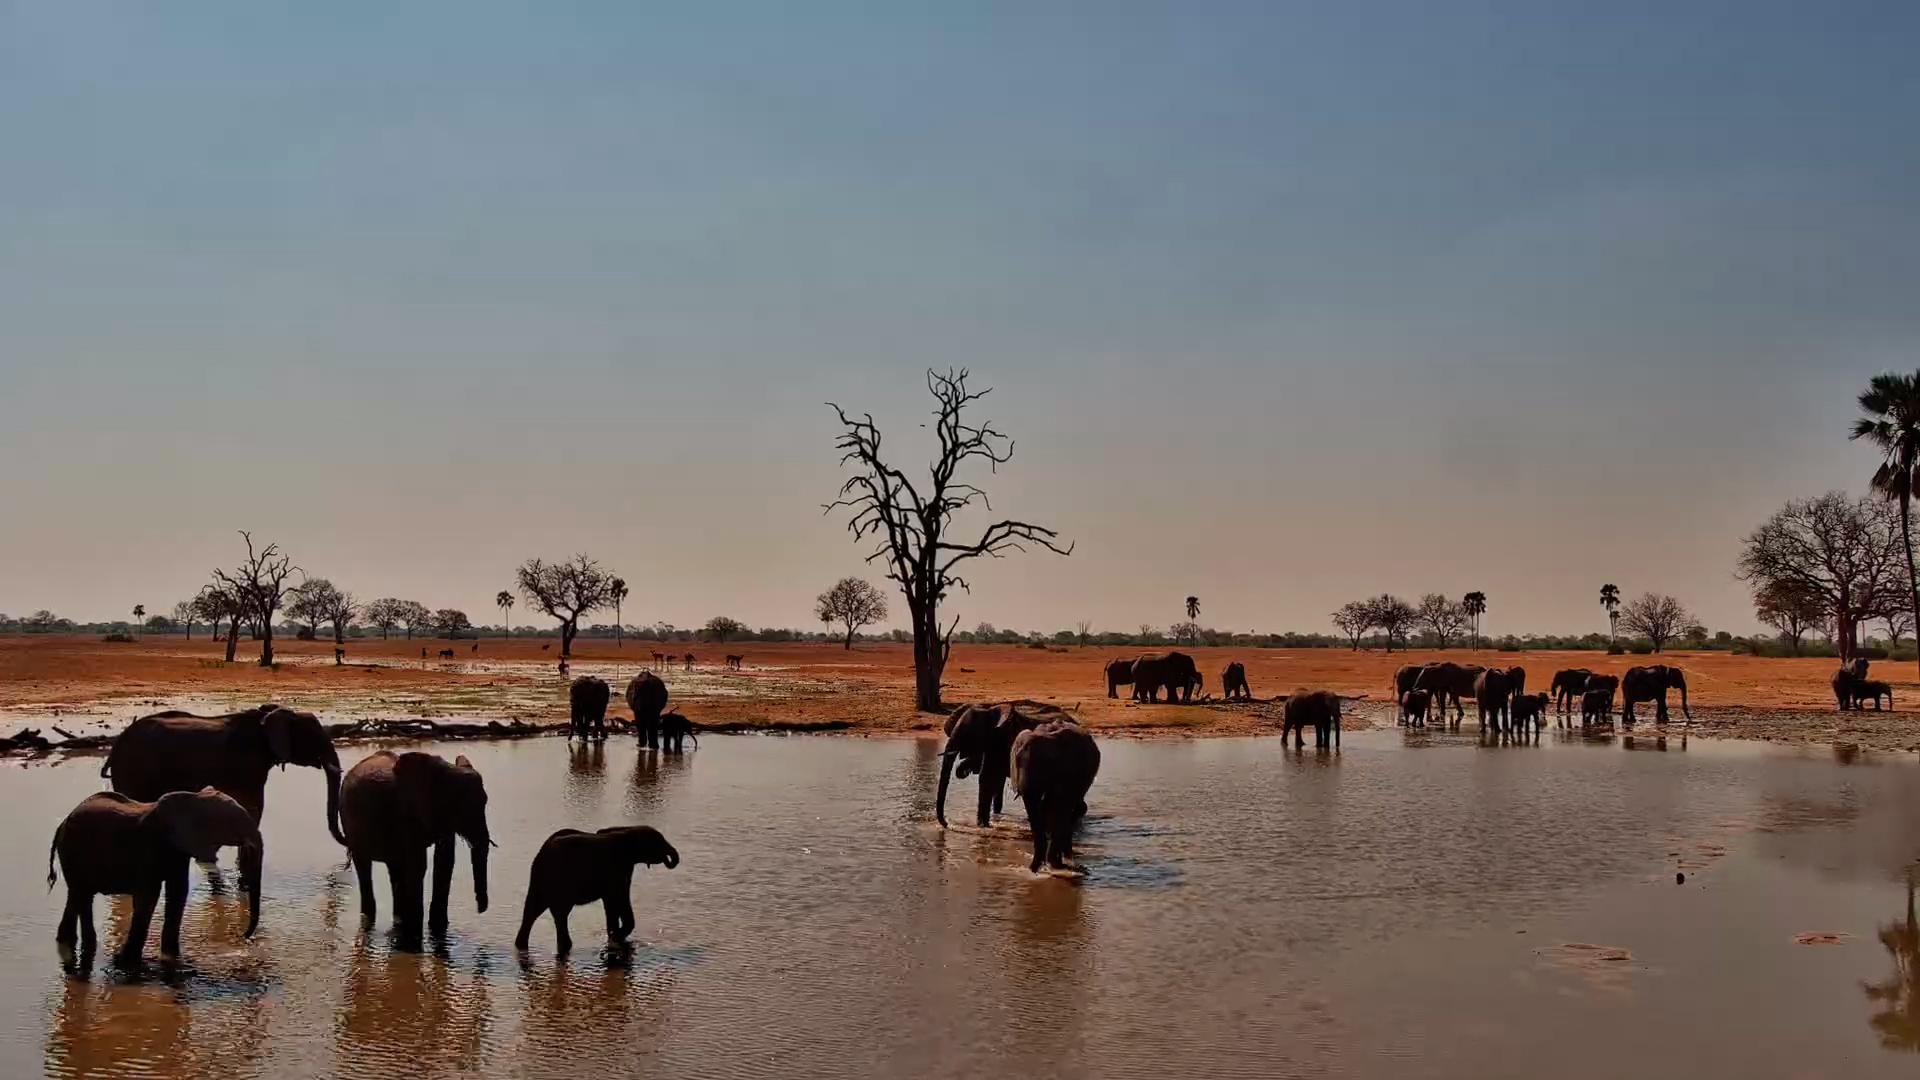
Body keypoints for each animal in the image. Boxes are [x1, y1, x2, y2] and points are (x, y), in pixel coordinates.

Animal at [49, 788, 263, 967]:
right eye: (232, 824)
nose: (243, 937)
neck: (194, 799)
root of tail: (62, 824)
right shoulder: (149, 845)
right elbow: (149, 895)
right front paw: (128, 963)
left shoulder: (178, 850)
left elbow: (178, 892)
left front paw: (171, 959)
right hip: (71, 852)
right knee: (80, 894)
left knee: (80, 896)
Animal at [339, 751, 492, 942]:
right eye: (458, 806)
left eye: (485, 802)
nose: (480, 909)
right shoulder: (408, 815)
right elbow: (419, 866)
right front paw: (414, 936)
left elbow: (444, 863)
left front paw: (437, 930)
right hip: (351, 825)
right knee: (365, 866)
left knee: (395, 869)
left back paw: (399, 920)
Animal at [513, 826, 679, 953]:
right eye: (658, 841)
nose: (669, 856)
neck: (628, 830)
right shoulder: (616, 868)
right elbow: (618, 898)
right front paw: (616, 937)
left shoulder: (624, 869)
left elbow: (615, 901)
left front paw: (614, 936)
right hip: (558, 880)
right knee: (558, 913)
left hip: (541, 880)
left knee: (534, 911)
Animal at [936, 701, 1072, 828]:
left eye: (967, 734)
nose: (946, 824)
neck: (989, 711)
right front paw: (990, 820)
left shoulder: (999, 741)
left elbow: (987, 777)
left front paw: (982, 826)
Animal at [1010, 720, 1100, 873]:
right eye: (1016, 763)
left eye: (1044, 763)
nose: (1032, 870)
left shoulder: (1069, 773)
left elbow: (1060, 809)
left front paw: (1055, 865)